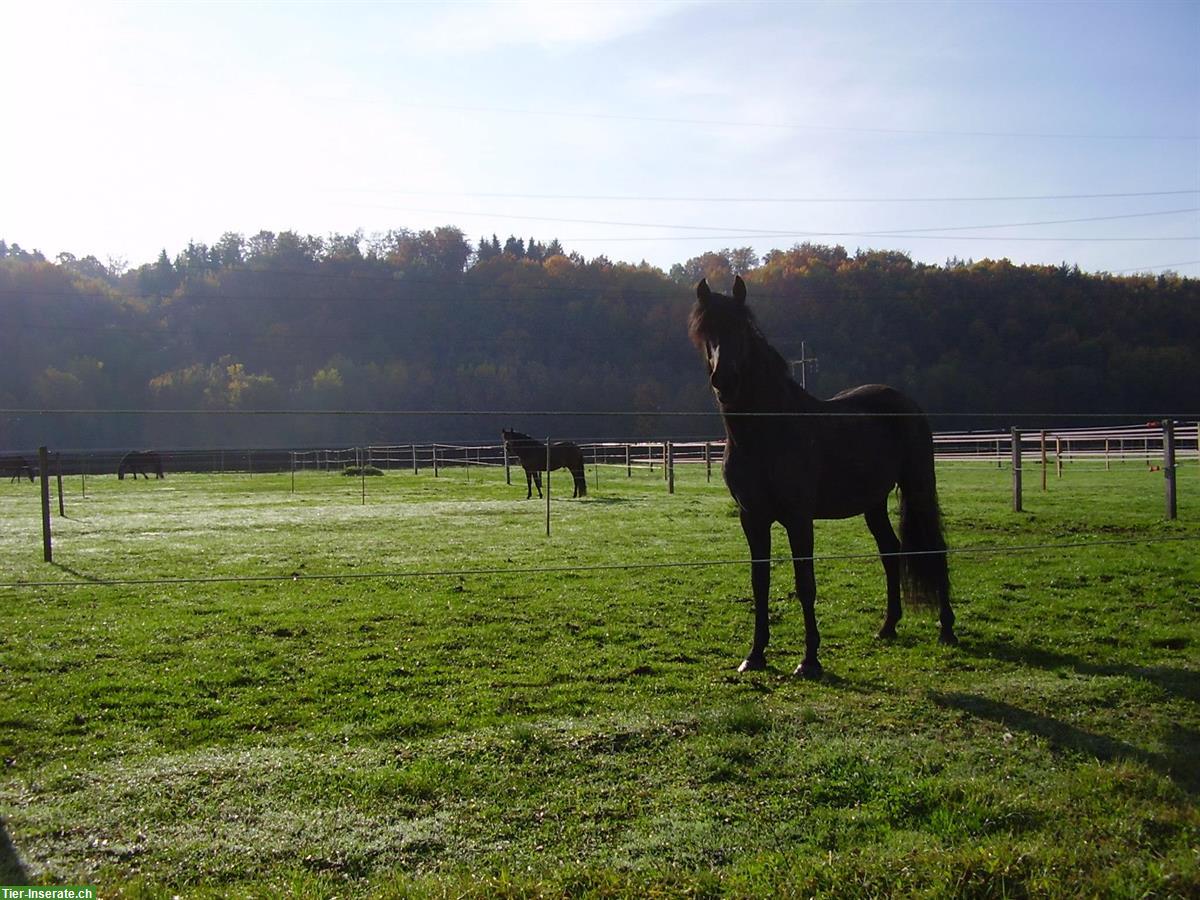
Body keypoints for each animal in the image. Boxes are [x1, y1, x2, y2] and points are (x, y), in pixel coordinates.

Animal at [686, 278, 955, 681]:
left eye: (742, 330)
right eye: (706, 332)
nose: (725, 379)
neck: (766, 432)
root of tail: (906, 403)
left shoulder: (799, 519)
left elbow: (805, 584)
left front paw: (809, 659)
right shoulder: (753, 519)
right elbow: (759, 583)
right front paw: (755, 655)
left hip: (919, 486)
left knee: (934, 547)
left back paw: (947, 628)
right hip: (873, 502)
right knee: (890, 550)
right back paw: (888, 626)